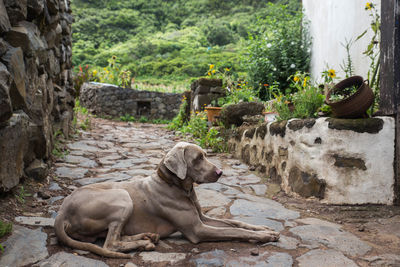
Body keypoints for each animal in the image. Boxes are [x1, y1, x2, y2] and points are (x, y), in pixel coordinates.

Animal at [54, 142, 278, 260]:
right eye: (198, 158)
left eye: (205, 155)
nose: (220, 172)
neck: (178, 187)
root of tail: (62, 212)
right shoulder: (197, 229)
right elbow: (235, 231)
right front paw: (264, 236)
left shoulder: (202, 218)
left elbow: (236, 222)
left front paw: (265, 229)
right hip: (122, 196)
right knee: (110, 244)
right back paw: (144, 244)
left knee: (115, 237)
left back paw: (147, 237)